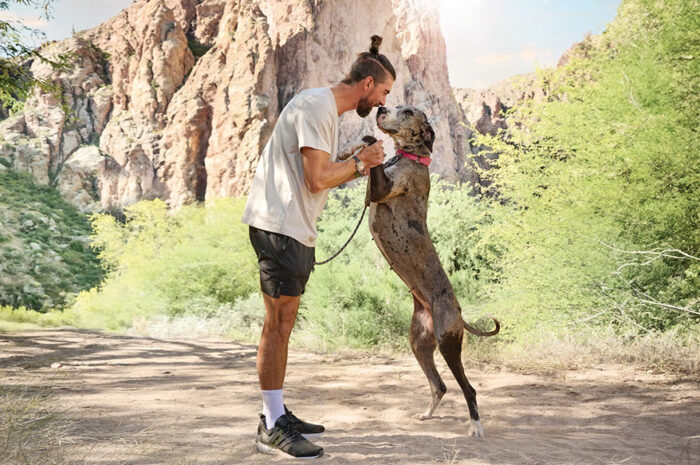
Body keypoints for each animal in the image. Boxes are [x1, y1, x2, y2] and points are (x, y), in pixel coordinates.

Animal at [344, 104, 500, 436]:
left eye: (406, 111)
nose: (381, 107)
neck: (412, 158)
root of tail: (458, 311)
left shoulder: (382, 189)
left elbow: (375, 163)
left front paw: (368, 141)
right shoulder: (371, 191)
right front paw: (356, 146)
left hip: (448, 343)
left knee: (468, 388)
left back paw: (475, 426)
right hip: (419, 343)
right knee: (439, 385)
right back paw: (428, 415)